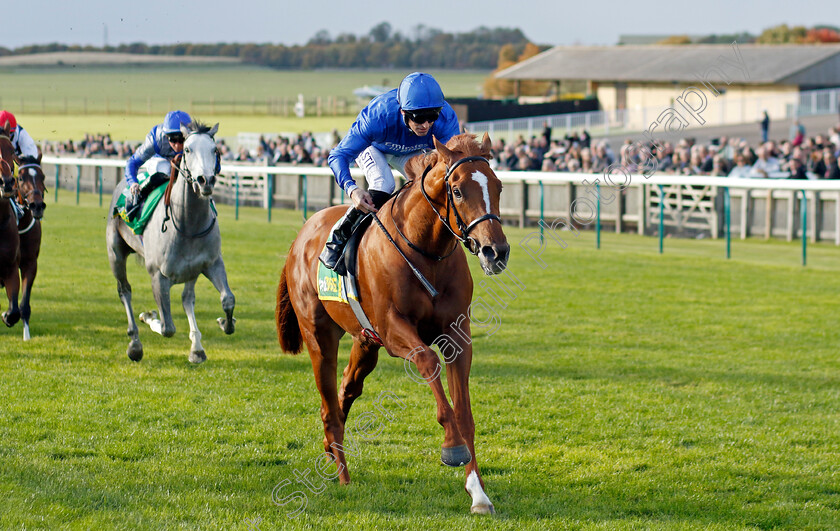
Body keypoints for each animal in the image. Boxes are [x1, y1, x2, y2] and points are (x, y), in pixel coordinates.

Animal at [107, 121, 236, 364]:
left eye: (215, 150)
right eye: (188, 150)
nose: (206, 181)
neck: (188, 225)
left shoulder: (211, 263)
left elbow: (228, 299)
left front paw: (226, 323)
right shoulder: (158, 275)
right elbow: (167, 327)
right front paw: (149, 316)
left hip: (191, 271)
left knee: (187, 298)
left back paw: (197, 348)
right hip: (115, 253)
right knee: (124, 291)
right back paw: (135, 343)